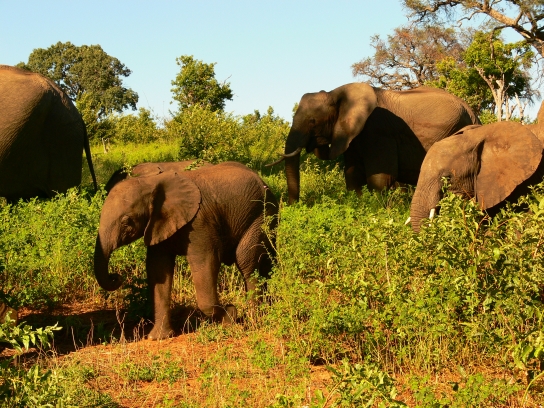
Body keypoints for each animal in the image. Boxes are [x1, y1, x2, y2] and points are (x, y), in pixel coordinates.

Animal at [94, 161, 279, 340]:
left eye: (126, 222)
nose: (116, 277)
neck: (151, 182)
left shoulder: (199, 223)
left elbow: (205, 263)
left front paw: (231, 317)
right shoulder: (158, 224)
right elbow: (158, 269)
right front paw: (158, 338)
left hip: (262, 215)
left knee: (247, 262)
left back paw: (255, 318)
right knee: (267, 262)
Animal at [269, 83, 480, 204]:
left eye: (312, 121)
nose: (293, 206)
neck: (335, 93)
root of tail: (473, 112)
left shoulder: (378, 129)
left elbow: (380, 179)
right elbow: (352, 175)